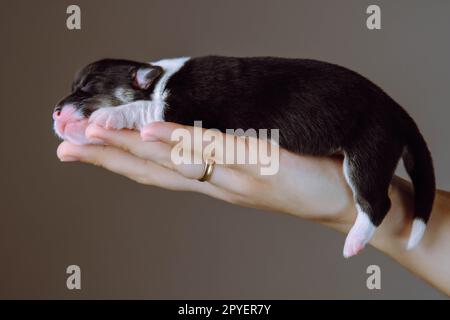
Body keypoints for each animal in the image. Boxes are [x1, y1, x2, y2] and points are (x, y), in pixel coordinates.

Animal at [53, 55, 436, 258]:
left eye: (85, 88)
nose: (55, 112)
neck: (160, 80)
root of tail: (397, 111)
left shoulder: (187, 109)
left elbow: (144, 109)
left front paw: (109, 116)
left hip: (368, 148)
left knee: (377, 202)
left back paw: (354, 242)